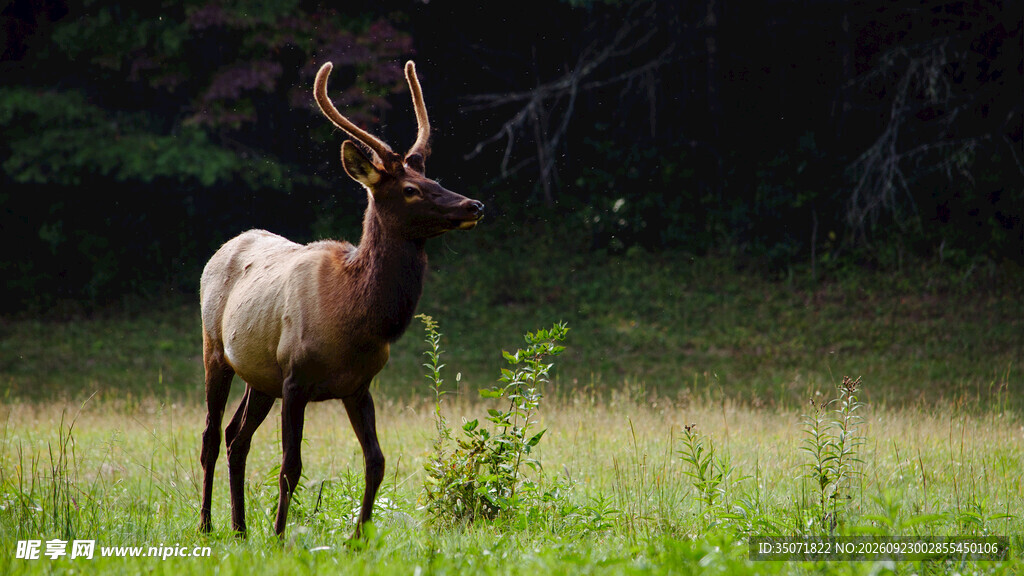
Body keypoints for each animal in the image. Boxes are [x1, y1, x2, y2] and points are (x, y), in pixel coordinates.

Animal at [198, 60, 483, 539]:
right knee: (211, 436)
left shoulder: (358, 385)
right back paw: (206, 525)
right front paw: (279, 536)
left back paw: (239, 528)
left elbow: (377, 462)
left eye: (433, 179)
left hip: (260, 376)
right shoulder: (295, 378)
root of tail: (223, 248)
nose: (473, 205)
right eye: (409, 189)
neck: (355, 319)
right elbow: (290, 467)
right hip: (215, 349)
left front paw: (360, 537)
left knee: (238, 437)